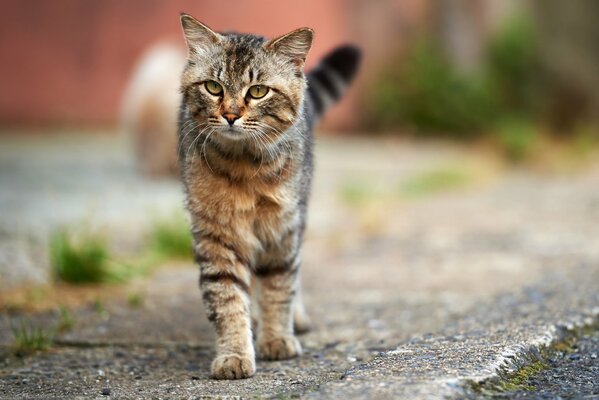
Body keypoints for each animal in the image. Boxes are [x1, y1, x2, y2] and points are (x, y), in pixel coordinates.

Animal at [176, 12, 358, 380]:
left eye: (258, 91)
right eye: (213, 87)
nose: (231, 115)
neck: (244, 165)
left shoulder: (282, 230)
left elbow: (278, 287)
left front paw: (277, 338)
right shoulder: (216, 236)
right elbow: (227, 299)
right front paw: (234, 354)